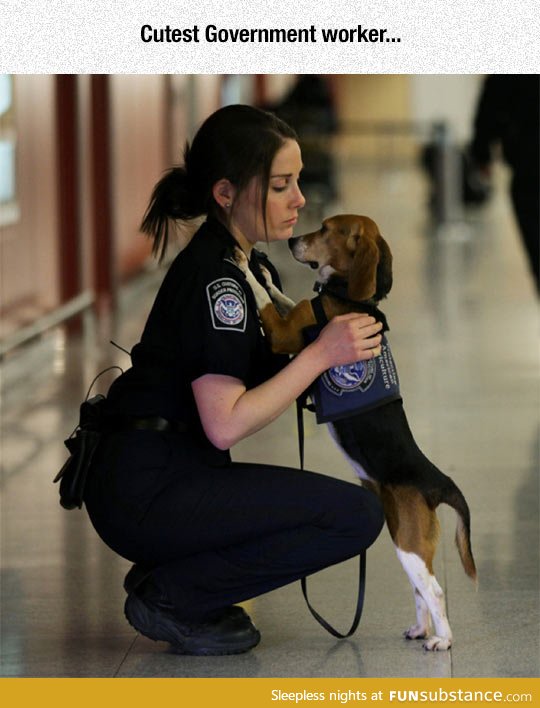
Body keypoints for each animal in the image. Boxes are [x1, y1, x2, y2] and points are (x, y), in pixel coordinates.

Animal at [236, 214, 476, 652]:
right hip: (402, 537)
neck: (352, 299)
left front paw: (245, 265)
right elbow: (280, 296)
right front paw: (264, 271)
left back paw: (442, 640)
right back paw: (422, 629)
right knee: (420, 589)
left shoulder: (283, 333)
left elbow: (263, 299)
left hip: (409, 542)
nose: (292, 240)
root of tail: (437, 480)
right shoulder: (293, 314)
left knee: (433, 590)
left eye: (326, 228)